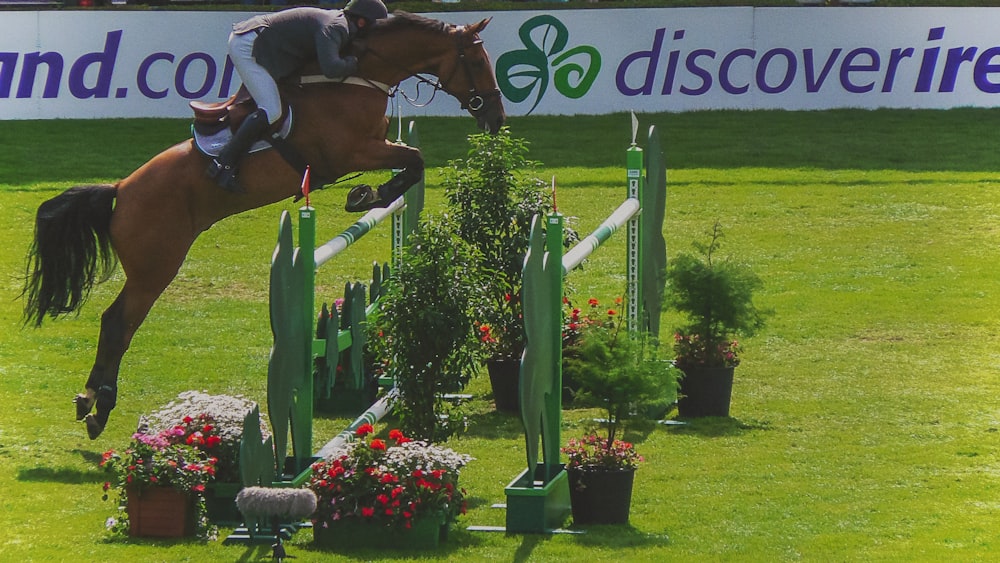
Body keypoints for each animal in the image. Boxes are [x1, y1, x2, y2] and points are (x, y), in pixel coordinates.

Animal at [21, 9, 508, 440]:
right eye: (477, 61)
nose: (496, 118)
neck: (358, 75)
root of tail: (121, 189)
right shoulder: (353, 151)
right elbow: (416, 160)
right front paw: (369, 196)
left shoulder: (372, 146)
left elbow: (413, 163)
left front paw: (367, 195)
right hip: (155, 267)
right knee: (118, 323)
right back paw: (97, 405)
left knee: (117, 323)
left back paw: (91, 403)